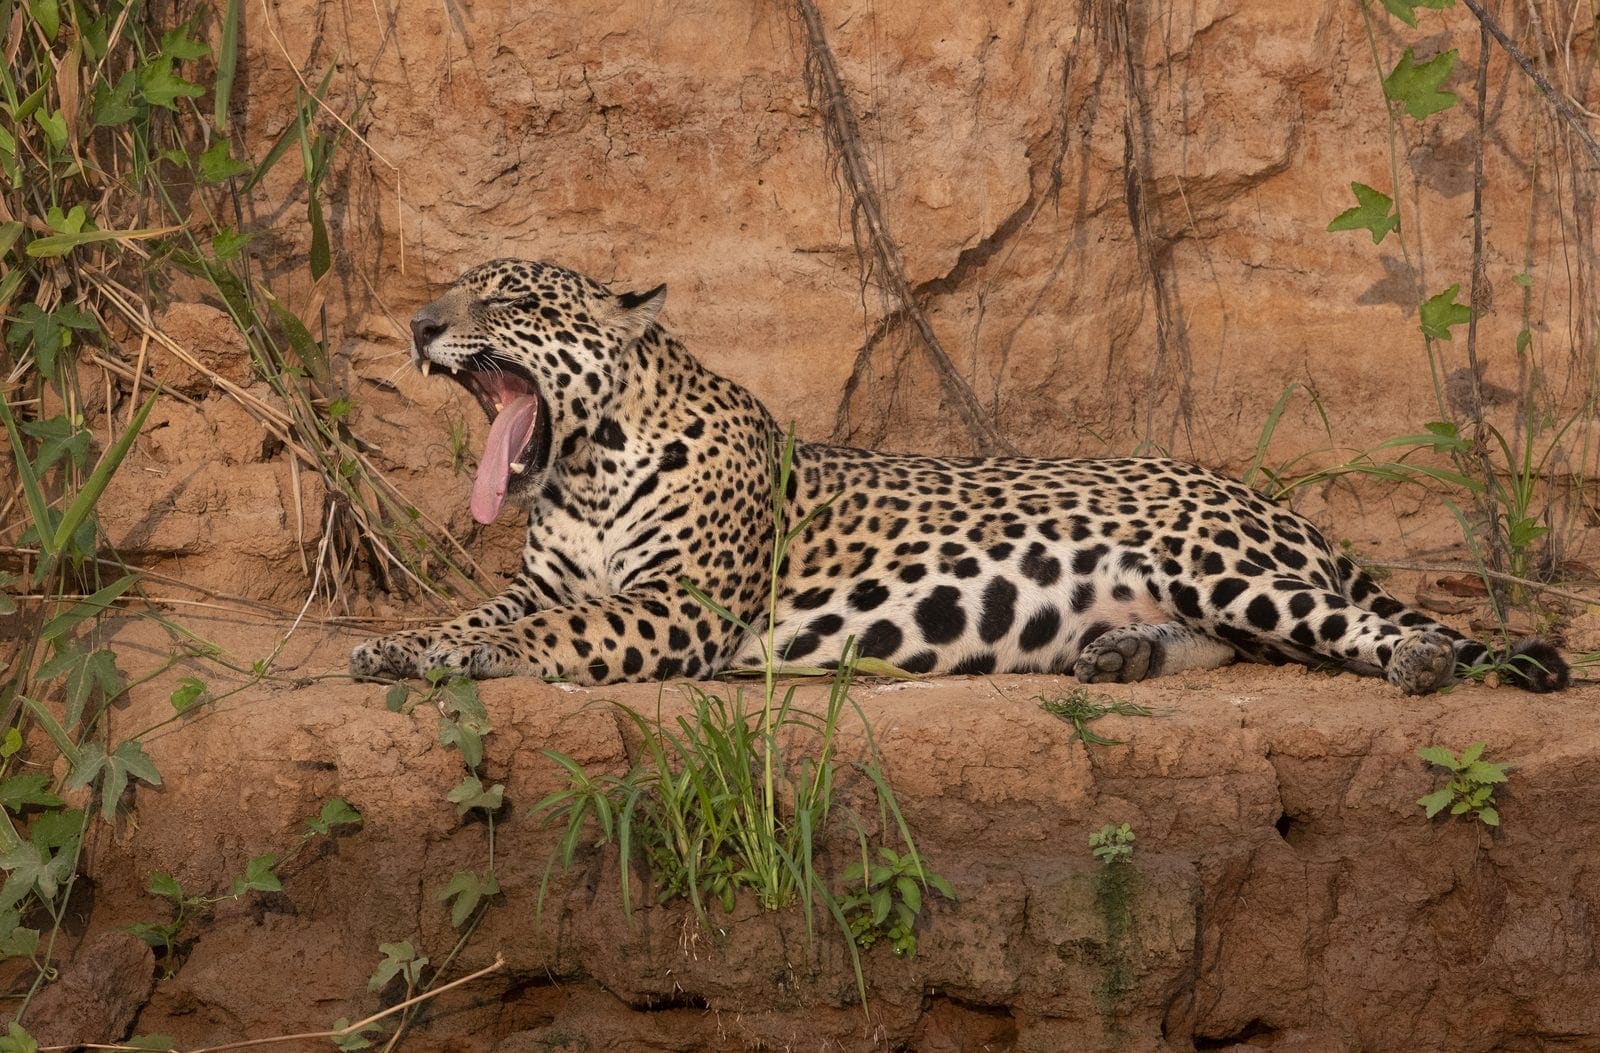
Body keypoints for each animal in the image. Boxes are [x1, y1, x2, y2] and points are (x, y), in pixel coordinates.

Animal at [349, 258, 1569, 696]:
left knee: (1367, 627)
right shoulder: (546, 578)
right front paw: (404, 646)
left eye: (505, 296)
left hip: (1223, 565)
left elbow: (549, 634)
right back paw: (1118, 653)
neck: (586, 467)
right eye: (453, 288)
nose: (416, 324)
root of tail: (1270, 502)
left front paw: (453, 660)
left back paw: (1424, 660)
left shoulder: (679, 605)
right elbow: (487, 611)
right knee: (1236, 643)